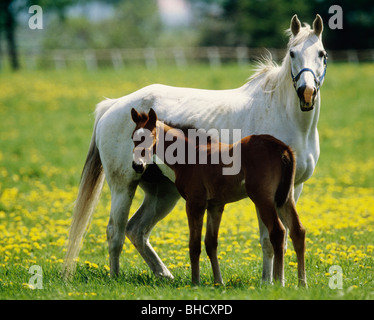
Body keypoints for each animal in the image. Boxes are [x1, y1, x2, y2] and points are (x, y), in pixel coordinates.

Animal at [64, 14, 328, 284]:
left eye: (321, 54)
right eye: (292, 53)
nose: (307, 92)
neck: (281, 112)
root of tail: (113, 105)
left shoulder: (292, 189)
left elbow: (283, 238)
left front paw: (278, 281)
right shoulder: (265, 193)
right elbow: (268, 238)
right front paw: (269, 282)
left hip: (163, 193)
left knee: (136, 229)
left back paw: (164, 274)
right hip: (123, 186)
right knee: (114, 231)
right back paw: (116, 277)